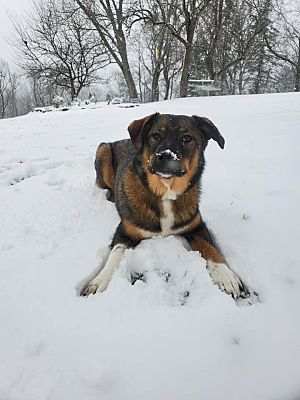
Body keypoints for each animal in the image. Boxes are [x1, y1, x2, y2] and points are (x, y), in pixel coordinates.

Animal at [81, 111, 245, 296]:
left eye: (187, 138)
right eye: (155, 135)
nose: (165, 156)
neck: (165, 191)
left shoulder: (196, 225)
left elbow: (210, 247)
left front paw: (225, 274)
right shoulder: (125, 231)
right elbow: (115, 254)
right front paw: (100, 280)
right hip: (103, 150)